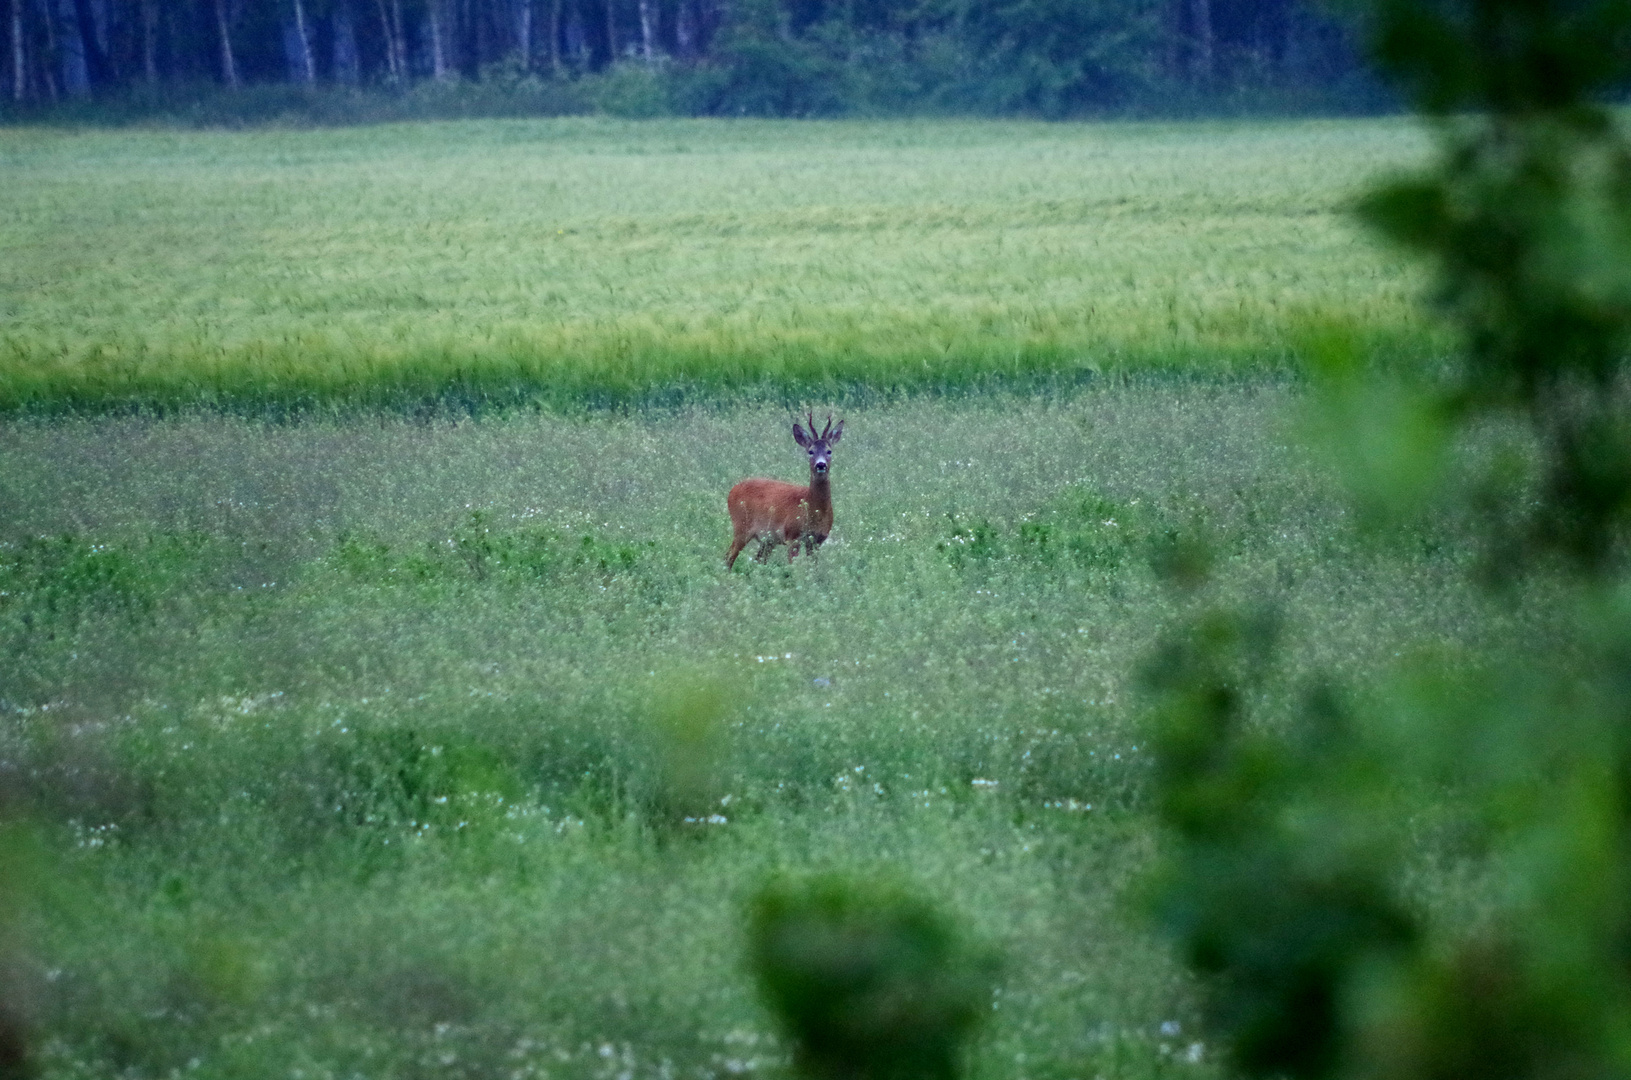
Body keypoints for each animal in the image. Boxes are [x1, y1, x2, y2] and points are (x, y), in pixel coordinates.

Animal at [730, 412, 848, 570]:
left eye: (829, 451)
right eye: (810, 451)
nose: (821, 465)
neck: (813, 508)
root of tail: (732, 490)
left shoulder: (817, 540)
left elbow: (813, 569)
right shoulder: (793, 536)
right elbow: (793, 567)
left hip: (768, 540)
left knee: (758, 560)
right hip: (741, 527)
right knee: (728, 557)